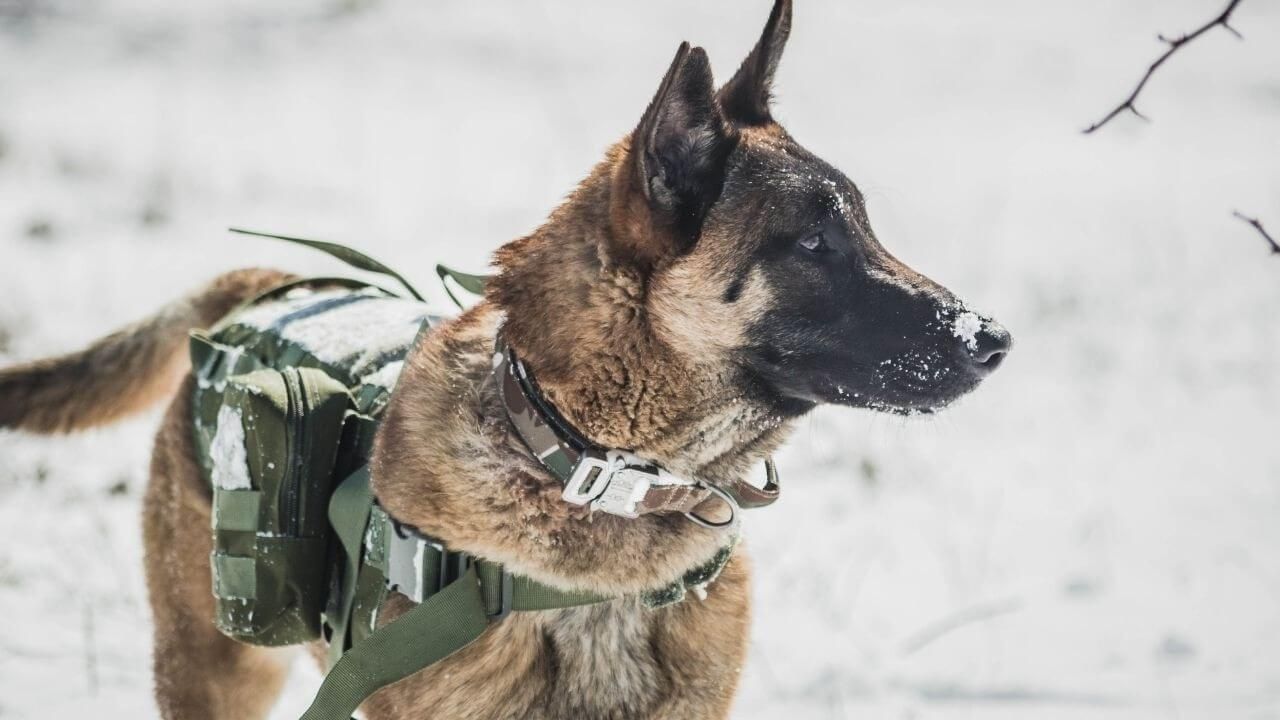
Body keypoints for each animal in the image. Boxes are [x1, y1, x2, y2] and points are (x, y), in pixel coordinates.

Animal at [0, 2, 1013, 712]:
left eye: (867, 228)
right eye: (813, 244)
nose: (995, 340)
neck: (598, 474)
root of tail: (271, 284)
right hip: (215, 668)